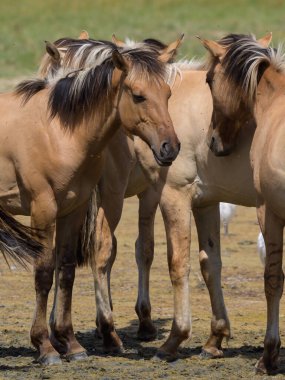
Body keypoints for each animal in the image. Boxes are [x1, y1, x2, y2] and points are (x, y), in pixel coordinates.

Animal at [1, 36, 180, 366]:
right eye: (138, 96)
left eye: (168, 93)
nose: (170, 148)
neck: (58, 131)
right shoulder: (43, 209)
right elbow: (44, 274)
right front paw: (45, 346)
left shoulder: (74, 209)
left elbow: (67, 270)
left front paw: (70, 344)